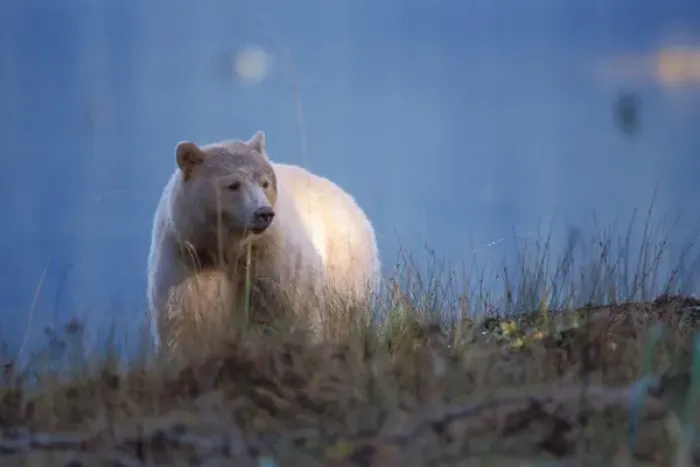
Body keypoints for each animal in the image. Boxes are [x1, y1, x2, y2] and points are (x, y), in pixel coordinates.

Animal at [146, 131, 381, 358]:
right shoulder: (188, 256)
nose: (264, 213)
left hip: (345, 274)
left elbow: (291, 308)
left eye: (265, 182)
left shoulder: (272, 256)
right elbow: (186, 319)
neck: (229, 248)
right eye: (233, 184)